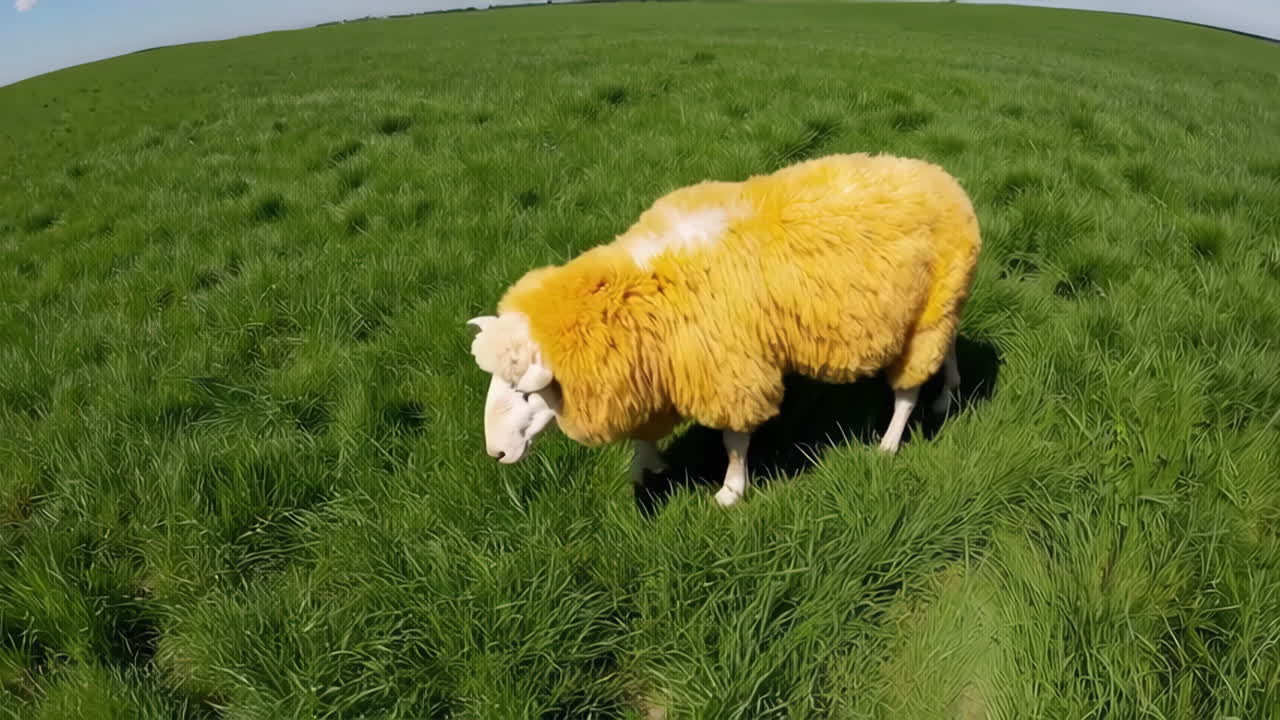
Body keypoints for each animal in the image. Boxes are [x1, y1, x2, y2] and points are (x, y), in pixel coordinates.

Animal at [466, 152, 982, 507]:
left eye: (526, 394)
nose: (495, 455)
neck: (644, 284)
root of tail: (945, 179)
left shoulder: (730, 372)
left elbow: (734, 442)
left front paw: (732, 491)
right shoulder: (657, 367)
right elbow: (644, 432)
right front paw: (644, 465)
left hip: (922, 322)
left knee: (907, 391)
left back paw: (890, 442)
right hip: (942, 303)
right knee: (951, 347)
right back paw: (948, 392)